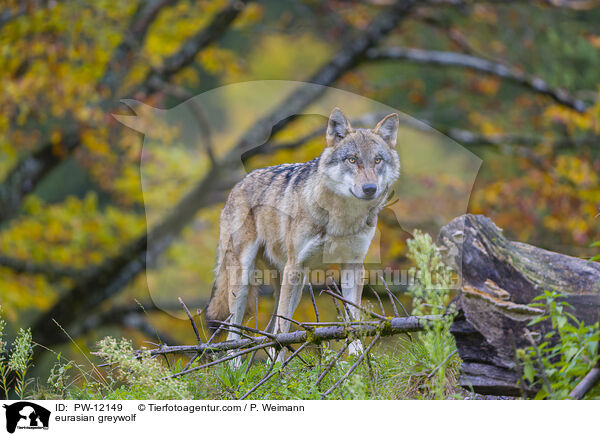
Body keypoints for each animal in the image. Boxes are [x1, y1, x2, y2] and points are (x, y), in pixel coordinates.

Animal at [204, 107, 400, 360]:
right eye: (352, 160)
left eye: (377, 160)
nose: (370, 189)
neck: (341, 218)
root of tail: (238, 184)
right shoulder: (295, 264)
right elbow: (283, 329)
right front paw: (280, 365)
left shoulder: (353, 265)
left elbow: (353, 318)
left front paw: (358, 359)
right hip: (246, 279)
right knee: (235, 335)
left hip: (292, 281)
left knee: (268, 328)